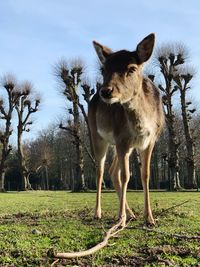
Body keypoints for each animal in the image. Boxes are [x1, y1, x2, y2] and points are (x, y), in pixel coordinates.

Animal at [88, 32, 164, 227]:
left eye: (131, 68)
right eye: (103, 70)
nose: (106, 91)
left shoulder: (149, 141)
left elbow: (145, 175)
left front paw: (149, 218)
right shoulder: (122, 139)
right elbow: (126, 177)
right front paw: (120, 219)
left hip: (120, 146)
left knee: (113, 171)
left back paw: (130, 214)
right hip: (98, 135)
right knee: (100, 171)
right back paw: (99, 213)